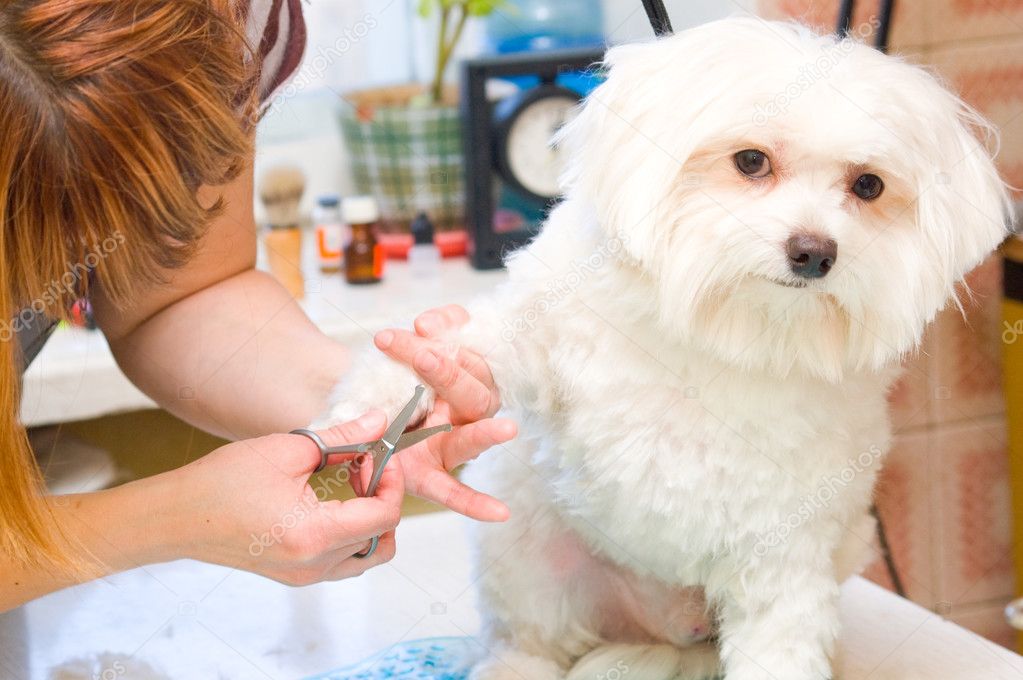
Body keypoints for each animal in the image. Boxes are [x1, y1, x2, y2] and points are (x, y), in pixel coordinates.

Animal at [323, 15, 1010, 678]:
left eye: (868, 185)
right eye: (751, 161)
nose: (815, 252)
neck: (724, 328)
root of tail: (664, 627)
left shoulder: (784, 552)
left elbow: (780, 645)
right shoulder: (548, 333)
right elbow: (467, 353)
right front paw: (372, 407)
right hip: (530, 561)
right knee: (528, 644)